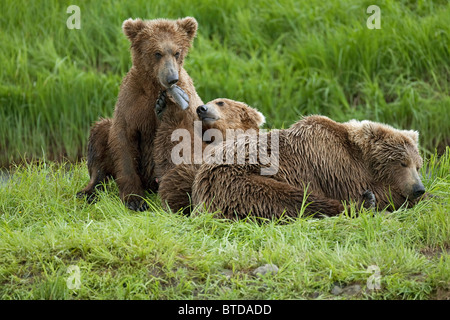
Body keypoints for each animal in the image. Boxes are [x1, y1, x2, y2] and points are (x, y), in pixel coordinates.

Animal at [188, 115, 428, 220]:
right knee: (296, 198)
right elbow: (358, 188)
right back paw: (362, 204)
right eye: (402, 163)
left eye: (418, 165)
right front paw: (379, 197)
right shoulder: (332, 163)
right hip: (241, 181)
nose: (419, 189)